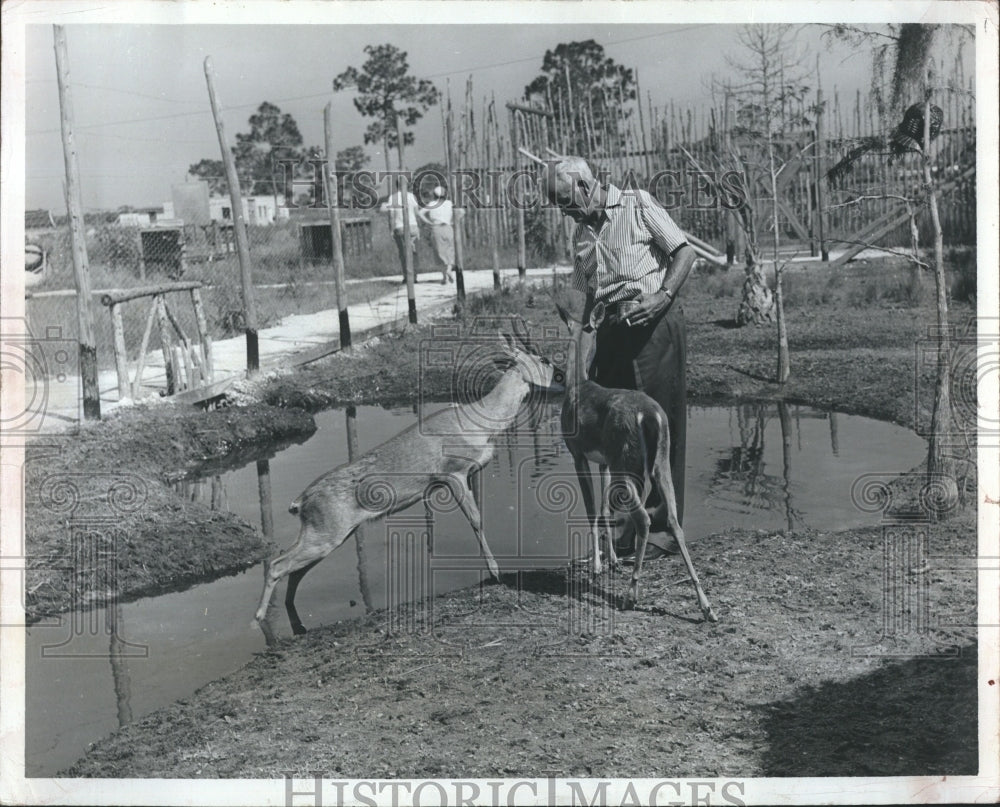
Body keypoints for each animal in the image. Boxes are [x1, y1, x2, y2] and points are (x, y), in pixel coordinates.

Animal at [254, 333, 554, 629]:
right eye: (542, 359)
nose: (558, 370)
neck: (484, 425)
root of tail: (300, 502)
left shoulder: (466, 474)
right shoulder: (453, 472)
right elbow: (476, 521)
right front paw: (495, 571)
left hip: (327, 530)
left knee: (293, 567)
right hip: (327, 530)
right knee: (279, 565)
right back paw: (259, 617)